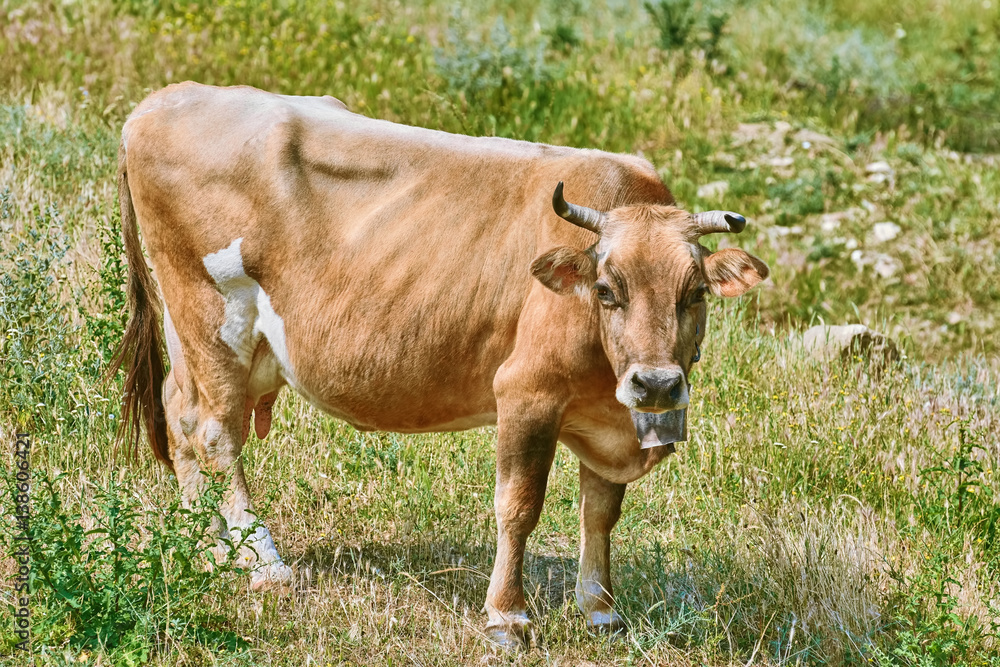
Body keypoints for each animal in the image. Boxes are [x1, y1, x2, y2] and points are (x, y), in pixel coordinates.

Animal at [109, 83, 764, 648]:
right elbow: (518, 506)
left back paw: (210, 549)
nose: (656, 383)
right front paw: (507, 617)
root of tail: (163, 101)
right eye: (607, 290)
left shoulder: (610, 415)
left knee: (180, 417)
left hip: (199, 333)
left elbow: (601, 512)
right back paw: (263, 562)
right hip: (211, 315)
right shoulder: (526, 393)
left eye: (696, 292)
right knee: (216, 433)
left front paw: (601, 610)